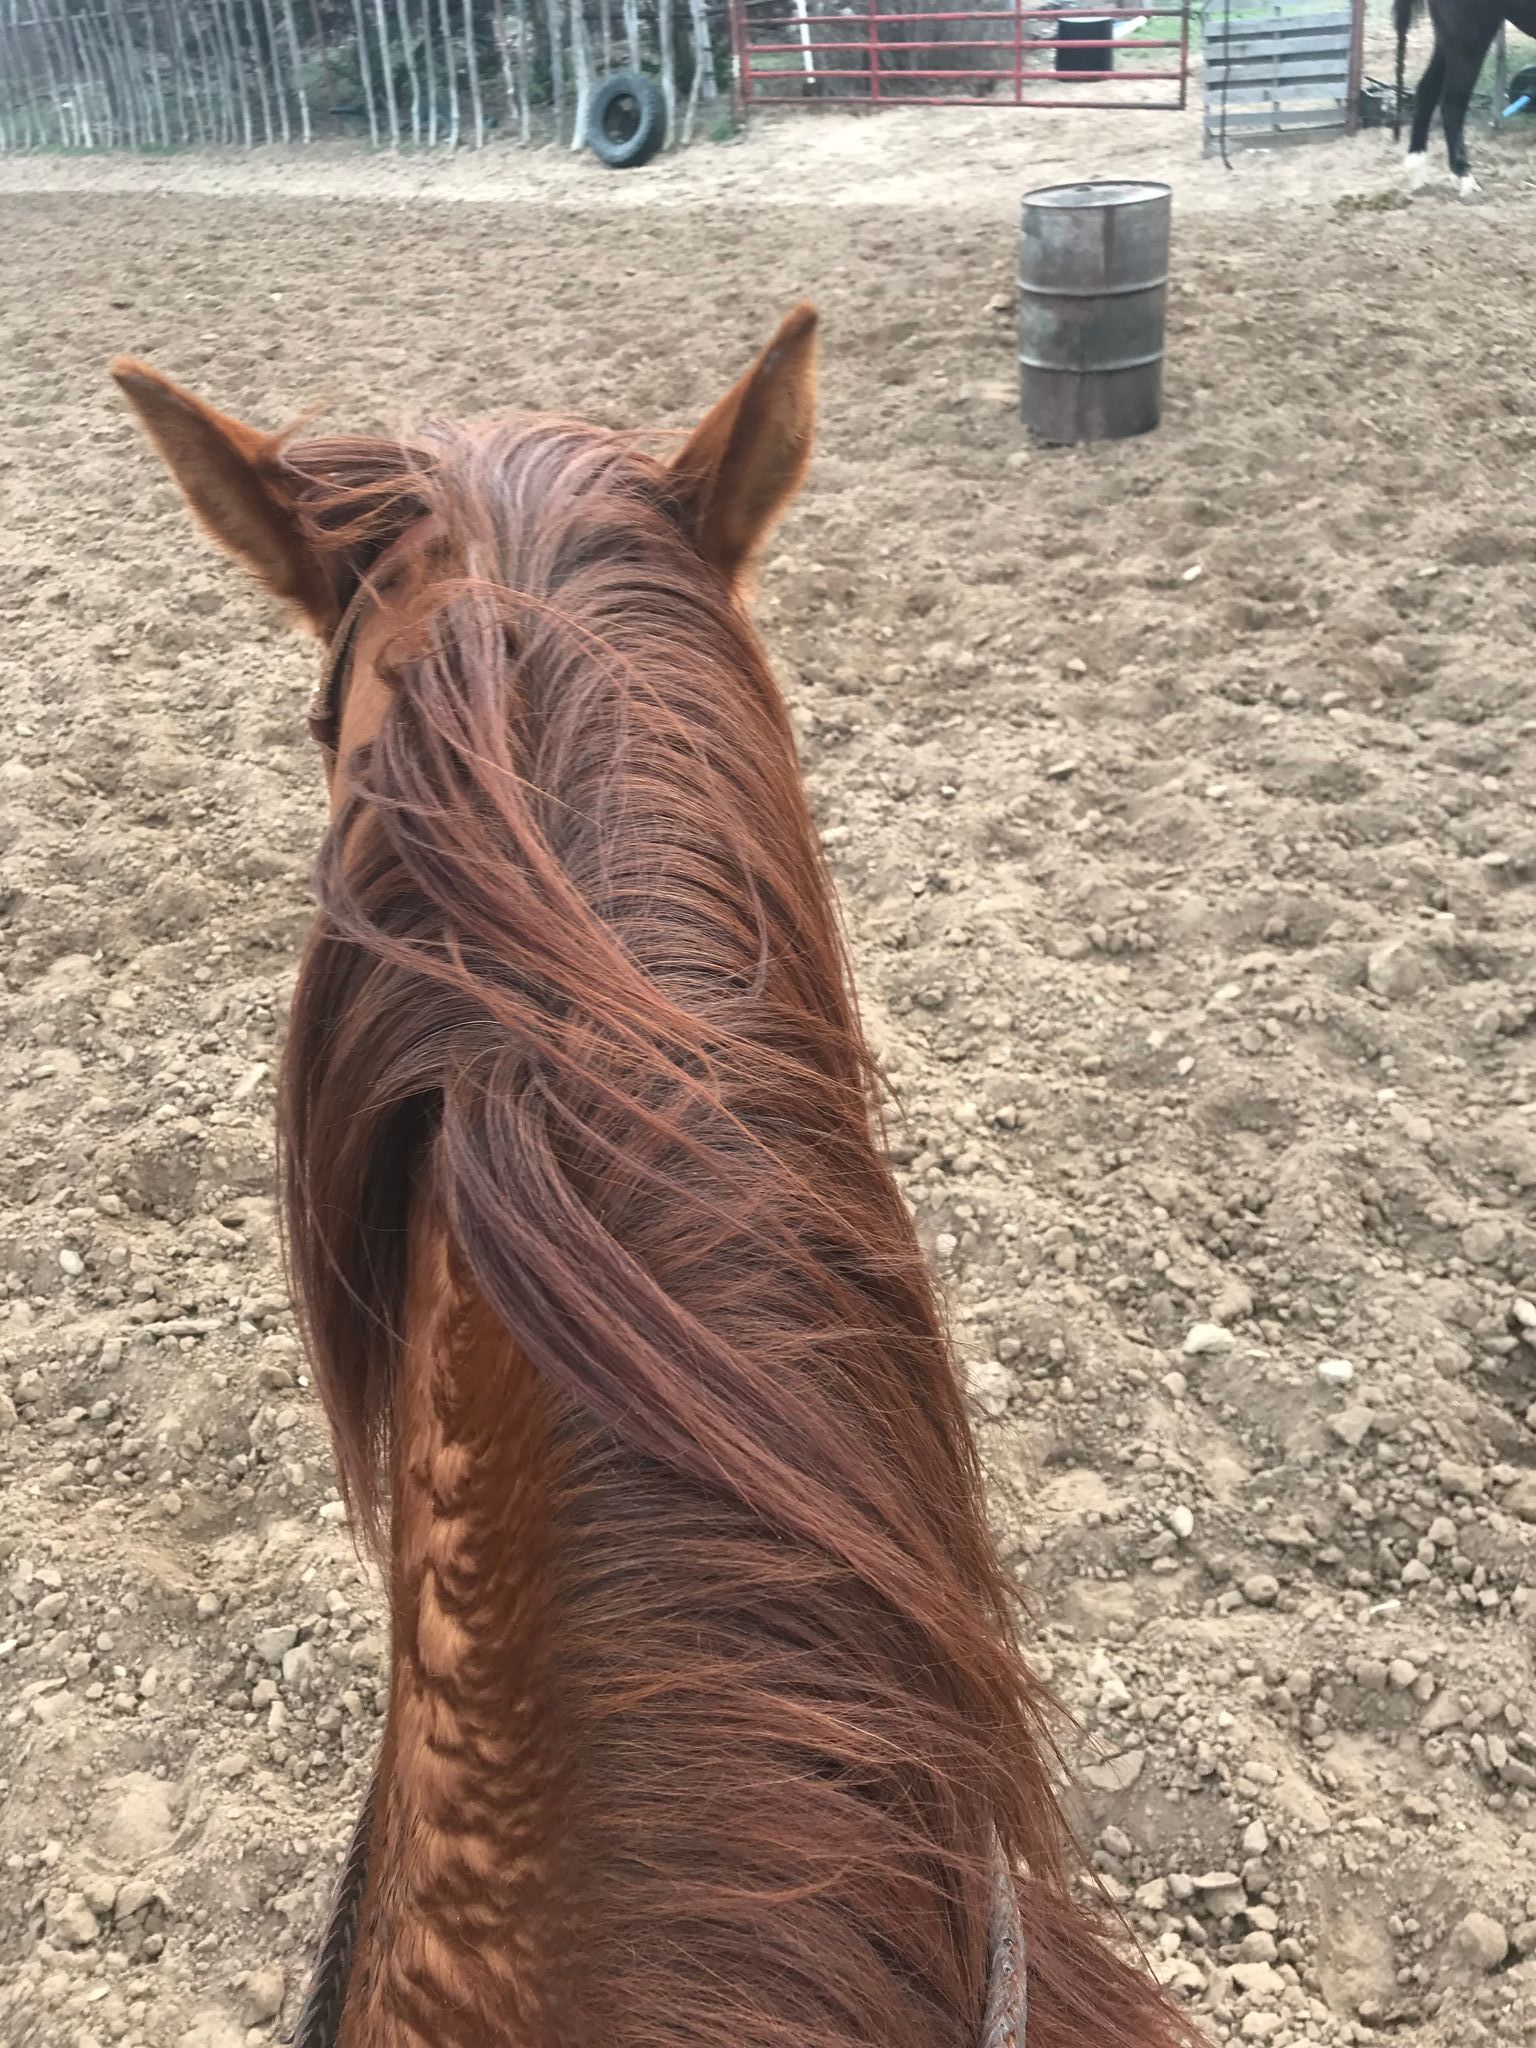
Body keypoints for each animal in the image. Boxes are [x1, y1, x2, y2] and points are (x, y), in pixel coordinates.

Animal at [1395, 0, 1536, 193]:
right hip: (1468, 36)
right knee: (1452, 103)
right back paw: (1462, 173)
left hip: (1449, 37)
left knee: (1426, 91)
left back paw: (1417, 164)